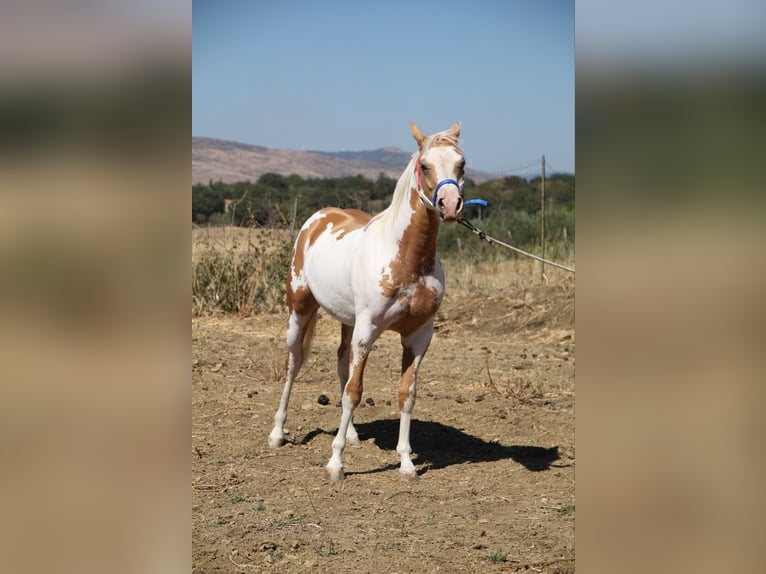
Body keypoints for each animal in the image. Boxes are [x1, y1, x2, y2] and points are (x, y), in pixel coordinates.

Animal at [268, 121, 464, 482]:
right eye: (424, 165)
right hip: (300, 311)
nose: (450, 205)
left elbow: (405, 394)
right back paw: (277, 433)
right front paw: (335, 463)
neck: (408, 260)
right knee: (293, 364)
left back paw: (353, 434)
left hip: (348, 323)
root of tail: (318, 218)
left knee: (342, 364)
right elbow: (354, 392)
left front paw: (406, 463)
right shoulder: (368, 329)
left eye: (462, 163)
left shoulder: (418, 336)